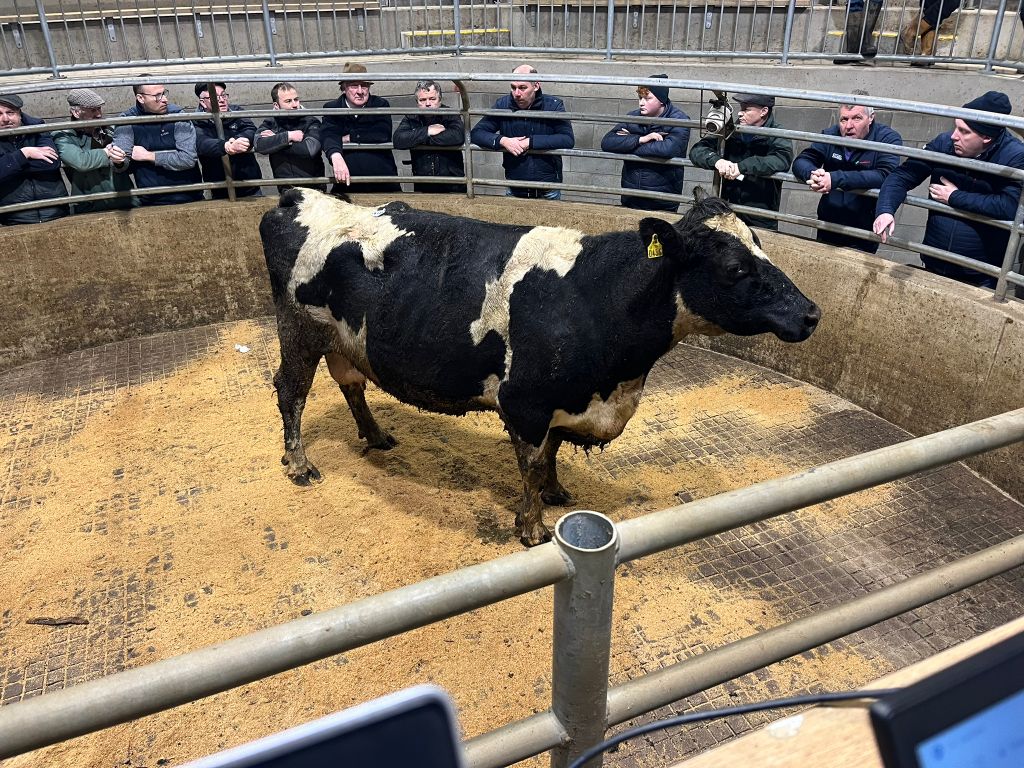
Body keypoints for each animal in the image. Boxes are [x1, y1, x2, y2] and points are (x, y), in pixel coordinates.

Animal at [260, 188, 820, 546]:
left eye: (760, 245)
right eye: (735, 267)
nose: (812, 313)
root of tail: (301, 197)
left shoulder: (564, 402)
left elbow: (552, 450)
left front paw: (556, 493)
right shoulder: (525, 401)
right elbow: (530, 463)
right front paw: (531, 527)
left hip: (344, 339)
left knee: (351, 385)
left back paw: (376, 436)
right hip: (299, 329)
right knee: (291, 391)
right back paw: (300, 464)